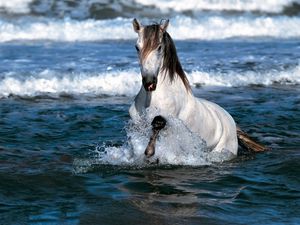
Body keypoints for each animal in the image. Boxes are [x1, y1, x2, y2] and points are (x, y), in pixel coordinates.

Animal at [129, 18, 268, 160]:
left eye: (159, 47)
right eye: (137, 47)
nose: (149, 82)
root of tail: (232, 123)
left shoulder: (169, 119)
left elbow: (158, 122)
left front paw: (149, 151)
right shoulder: (138, 123)